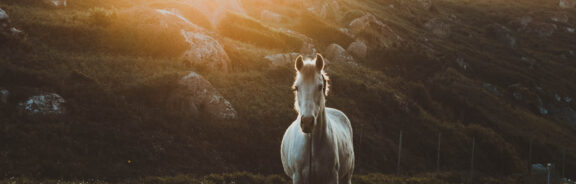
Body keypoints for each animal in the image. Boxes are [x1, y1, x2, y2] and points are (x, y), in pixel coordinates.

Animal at [282, 53, 354, 184]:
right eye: (296, 87)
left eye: (320, 86)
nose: (307, 122)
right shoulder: (298, 177)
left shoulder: (332, 177)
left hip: (347, 177)